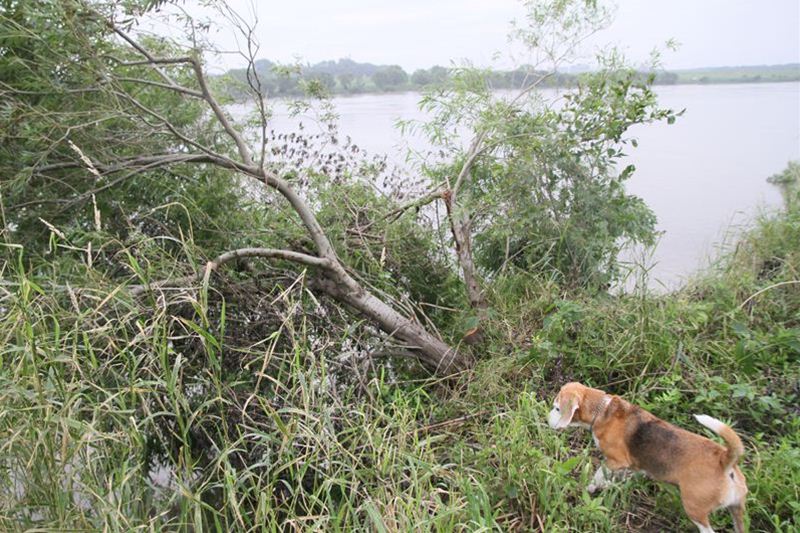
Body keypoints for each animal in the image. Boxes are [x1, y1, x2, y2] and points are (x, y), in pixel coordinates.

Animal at [548, 382, 748, 532]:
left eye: (557, 408)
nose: (547, 420)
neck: (602, 410)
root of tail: (725, 459)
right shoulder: (634, 466)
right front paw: (611, 486)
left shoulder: (616, 460)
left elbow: (598, 474)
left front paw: (589, 488)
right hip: (737, 512)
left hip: (695, 508)